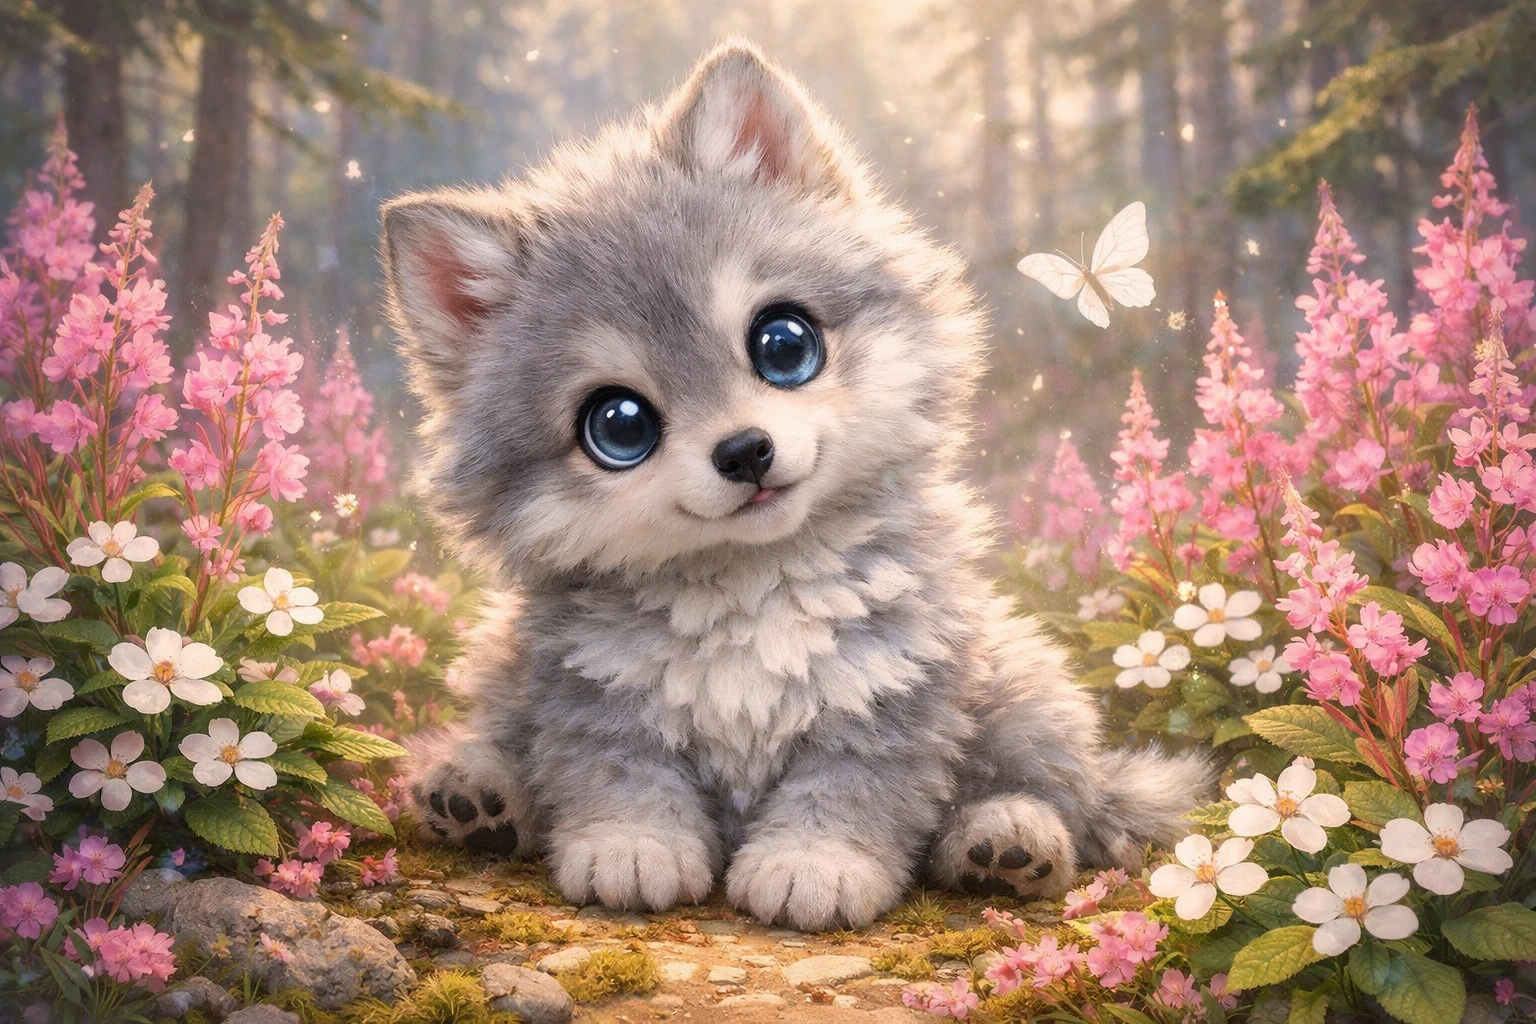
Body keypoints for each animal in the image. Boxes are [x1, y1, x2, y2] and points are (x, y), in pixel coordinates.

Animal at [379, 40, 1208, 931]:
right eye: (620, 426)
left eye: (784, 344)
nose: (745, 450)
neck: (749, 590)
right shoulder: (591, 690)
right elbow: (619, 772)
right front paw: (632, 846)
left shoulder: (893, 689)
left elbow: (850, 789)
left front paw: (815, 863)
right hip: (498, 661)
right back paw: (476, 795)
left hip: (1023, 687)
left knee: (1060, 793)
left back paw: (1007, 842)